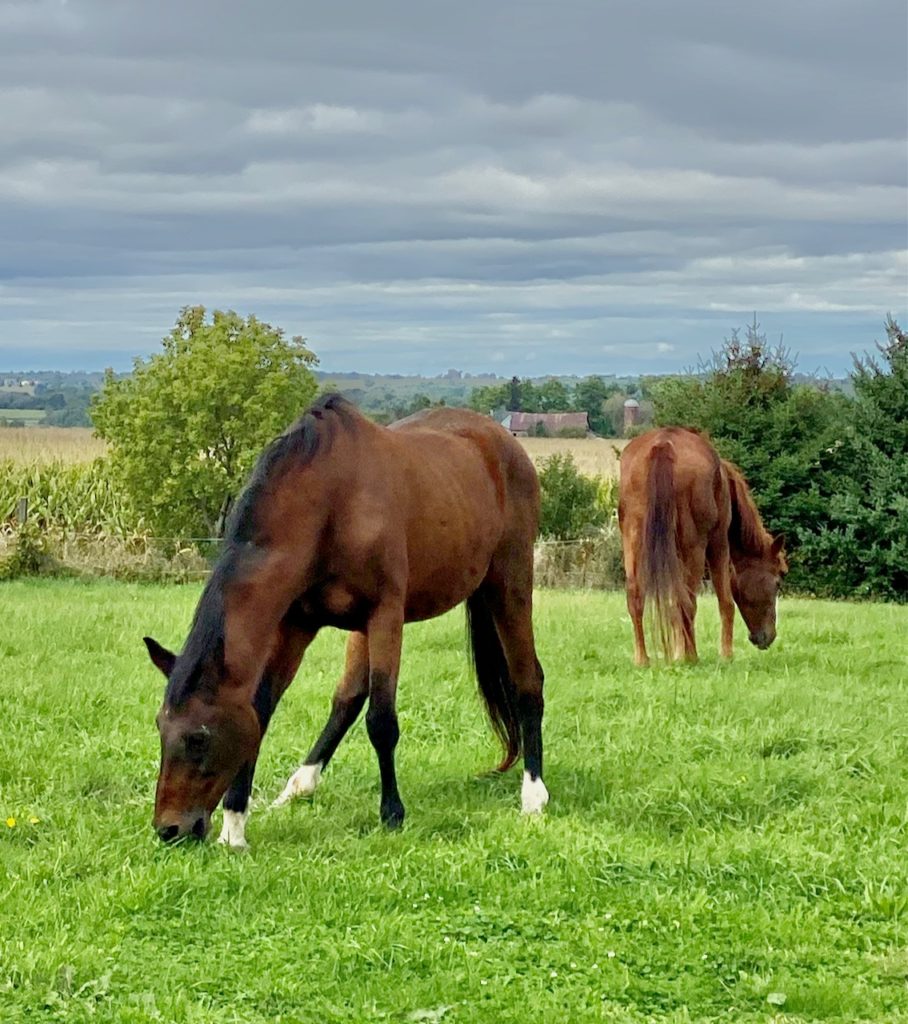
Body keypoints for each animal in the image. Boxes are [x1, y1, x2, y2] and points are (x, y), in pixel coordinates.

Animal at [142, 393, 548, 847]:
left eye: (199, 737)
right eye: (161, 727)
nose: (169, 829)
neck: (329, 503)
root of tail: (505, 443)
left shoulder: (385, 616)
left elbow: (382, 720)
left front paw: (392, 814)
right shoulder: (295, 625)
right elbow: (263, 711)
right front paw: (235, 825)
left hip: (508, 587)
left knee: (528, 681)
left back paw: (533, 795)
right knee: (348, 696)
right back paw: (300, 784)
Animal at [618, 428, 790, 667]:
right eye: (778, 580)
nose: (767, 637)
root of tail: (664, 445)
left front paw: (677, 653)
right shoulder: (719, 544)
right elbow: (726, 602)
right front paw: (726, 655)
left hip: (634, 540)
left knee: (637, 596)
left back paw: (643, 659)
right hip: (695, 548)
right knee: (688, 601)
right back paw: (692, 657)